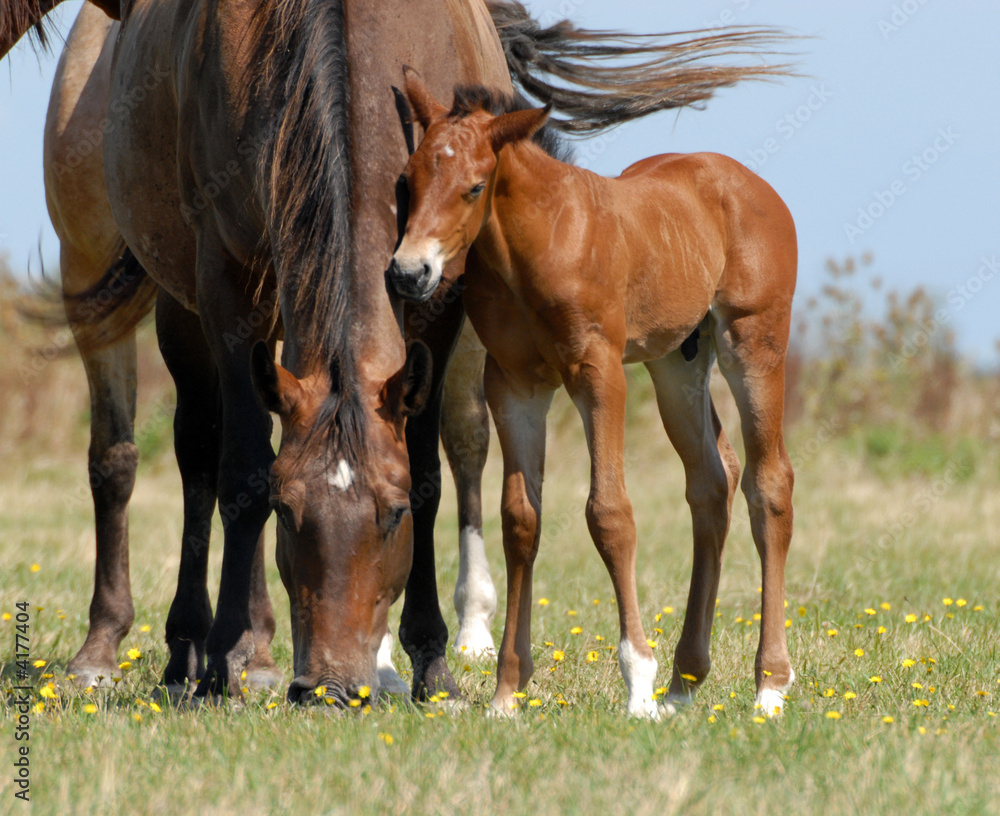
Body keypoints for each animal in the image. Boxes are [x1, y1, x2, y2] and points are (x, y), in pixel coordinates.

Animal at [390, 71, 796, 720]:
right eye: (408, 180)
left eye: (474, 187)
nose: (409, 273)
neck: (536, 245)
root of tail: (750, 183)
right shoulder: (514, 385)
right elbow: (520, 519)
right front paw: (506, 693)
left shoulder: (598, 373)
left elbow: (609, 514)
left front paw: (636, 682)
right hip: (675, 364)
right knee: (712, 482)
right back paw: (683, 683)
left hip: (753, 345)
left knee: (769, 485)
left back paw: (768, 687)